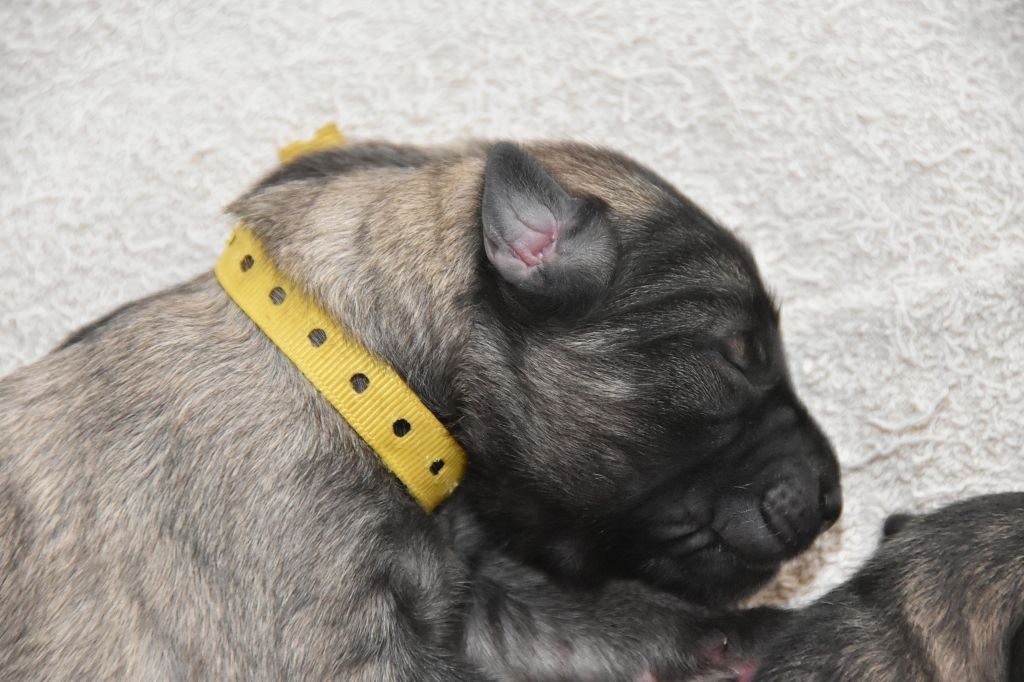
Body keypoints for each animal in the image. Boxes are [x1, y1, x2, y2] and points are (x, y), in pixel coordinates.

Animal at [0, 139, 841, 680]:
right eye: (739, 353)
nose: (835, 497)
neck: (361, 379)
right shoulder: (336, 648)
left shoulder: (479, 612)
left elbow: (614, 624)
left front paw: (762, 637)